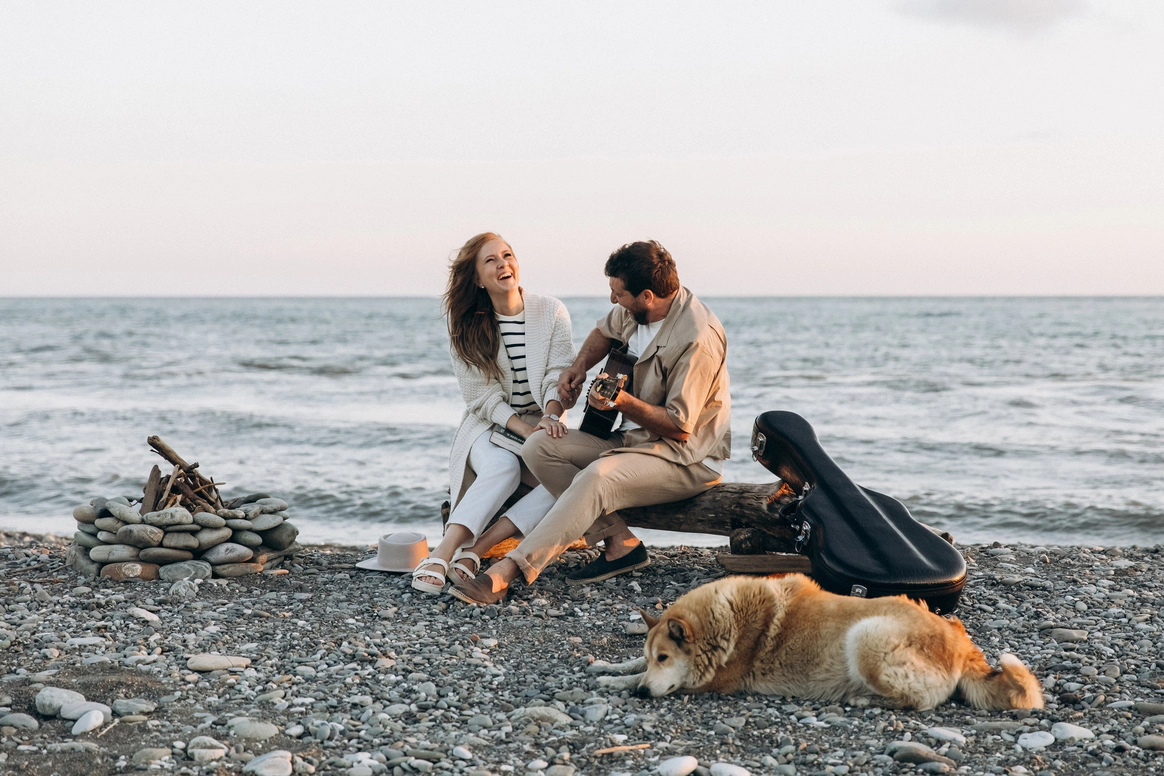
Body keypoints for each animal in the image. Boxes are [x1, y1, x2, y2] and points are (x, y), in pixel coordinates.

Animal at [595, 574, 1043, 710]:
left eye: (665, 658)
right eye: (654, 656)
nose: (642, 694)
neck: (727, 619)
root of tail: (961, 642)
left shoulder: (714, 681)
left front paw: (618, 682)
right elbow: (627, 664)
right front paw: (609, 668)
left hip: (866, 636)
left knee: (919, 701)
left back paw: (862, 698)